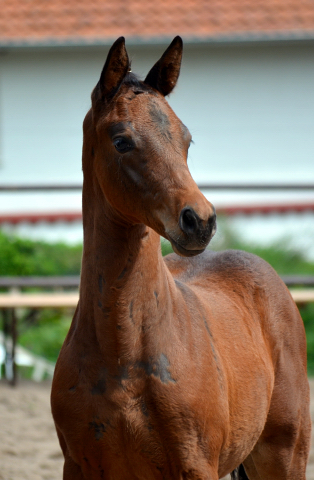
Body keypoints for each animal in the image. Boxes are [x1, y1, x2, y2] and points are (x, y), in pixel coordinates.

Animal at [51, 35, 312, 478]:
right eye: (121, 140)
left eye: (186, 140)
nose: (199, 221)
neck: (122, 353)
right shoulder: (78, 466)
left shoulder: (195, 464)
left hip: (284, 455)